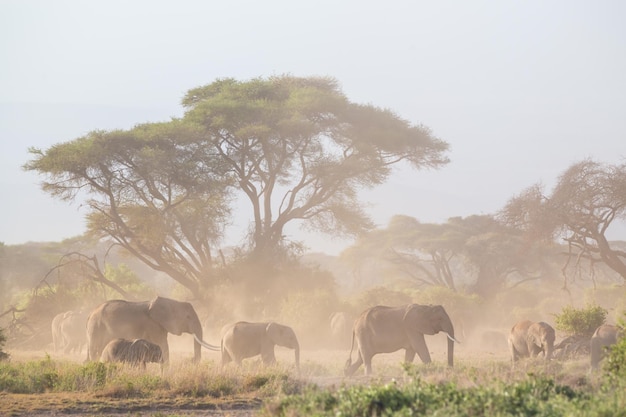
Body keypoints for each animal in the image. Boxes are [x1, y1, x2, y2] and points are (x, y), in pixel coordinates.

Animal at [85, 294, 217, 362]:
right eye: (188, 317)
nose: (192, 359)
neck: (172, 302)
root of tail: (90, 314)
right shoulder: (153, 325)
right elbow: (163, 345)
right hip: (97, 327)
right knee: (95, 350)